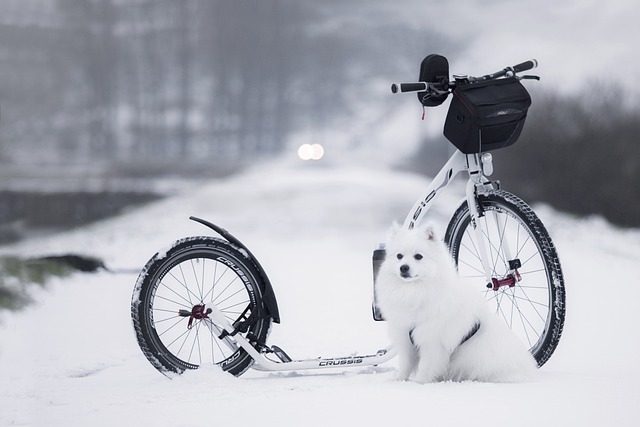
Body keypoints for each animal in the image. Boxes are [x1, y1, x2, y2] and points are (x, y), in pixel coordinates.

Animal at [378, 226, 536, 382]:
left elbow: (425, 367)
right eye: (399, 256)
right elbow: (405, 365)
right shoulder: (405, 338)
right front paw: (399, 380)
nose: (403, 267)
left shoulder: (432, 342)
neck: (415, 291)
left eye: (418, 256)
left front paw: (419, 383)